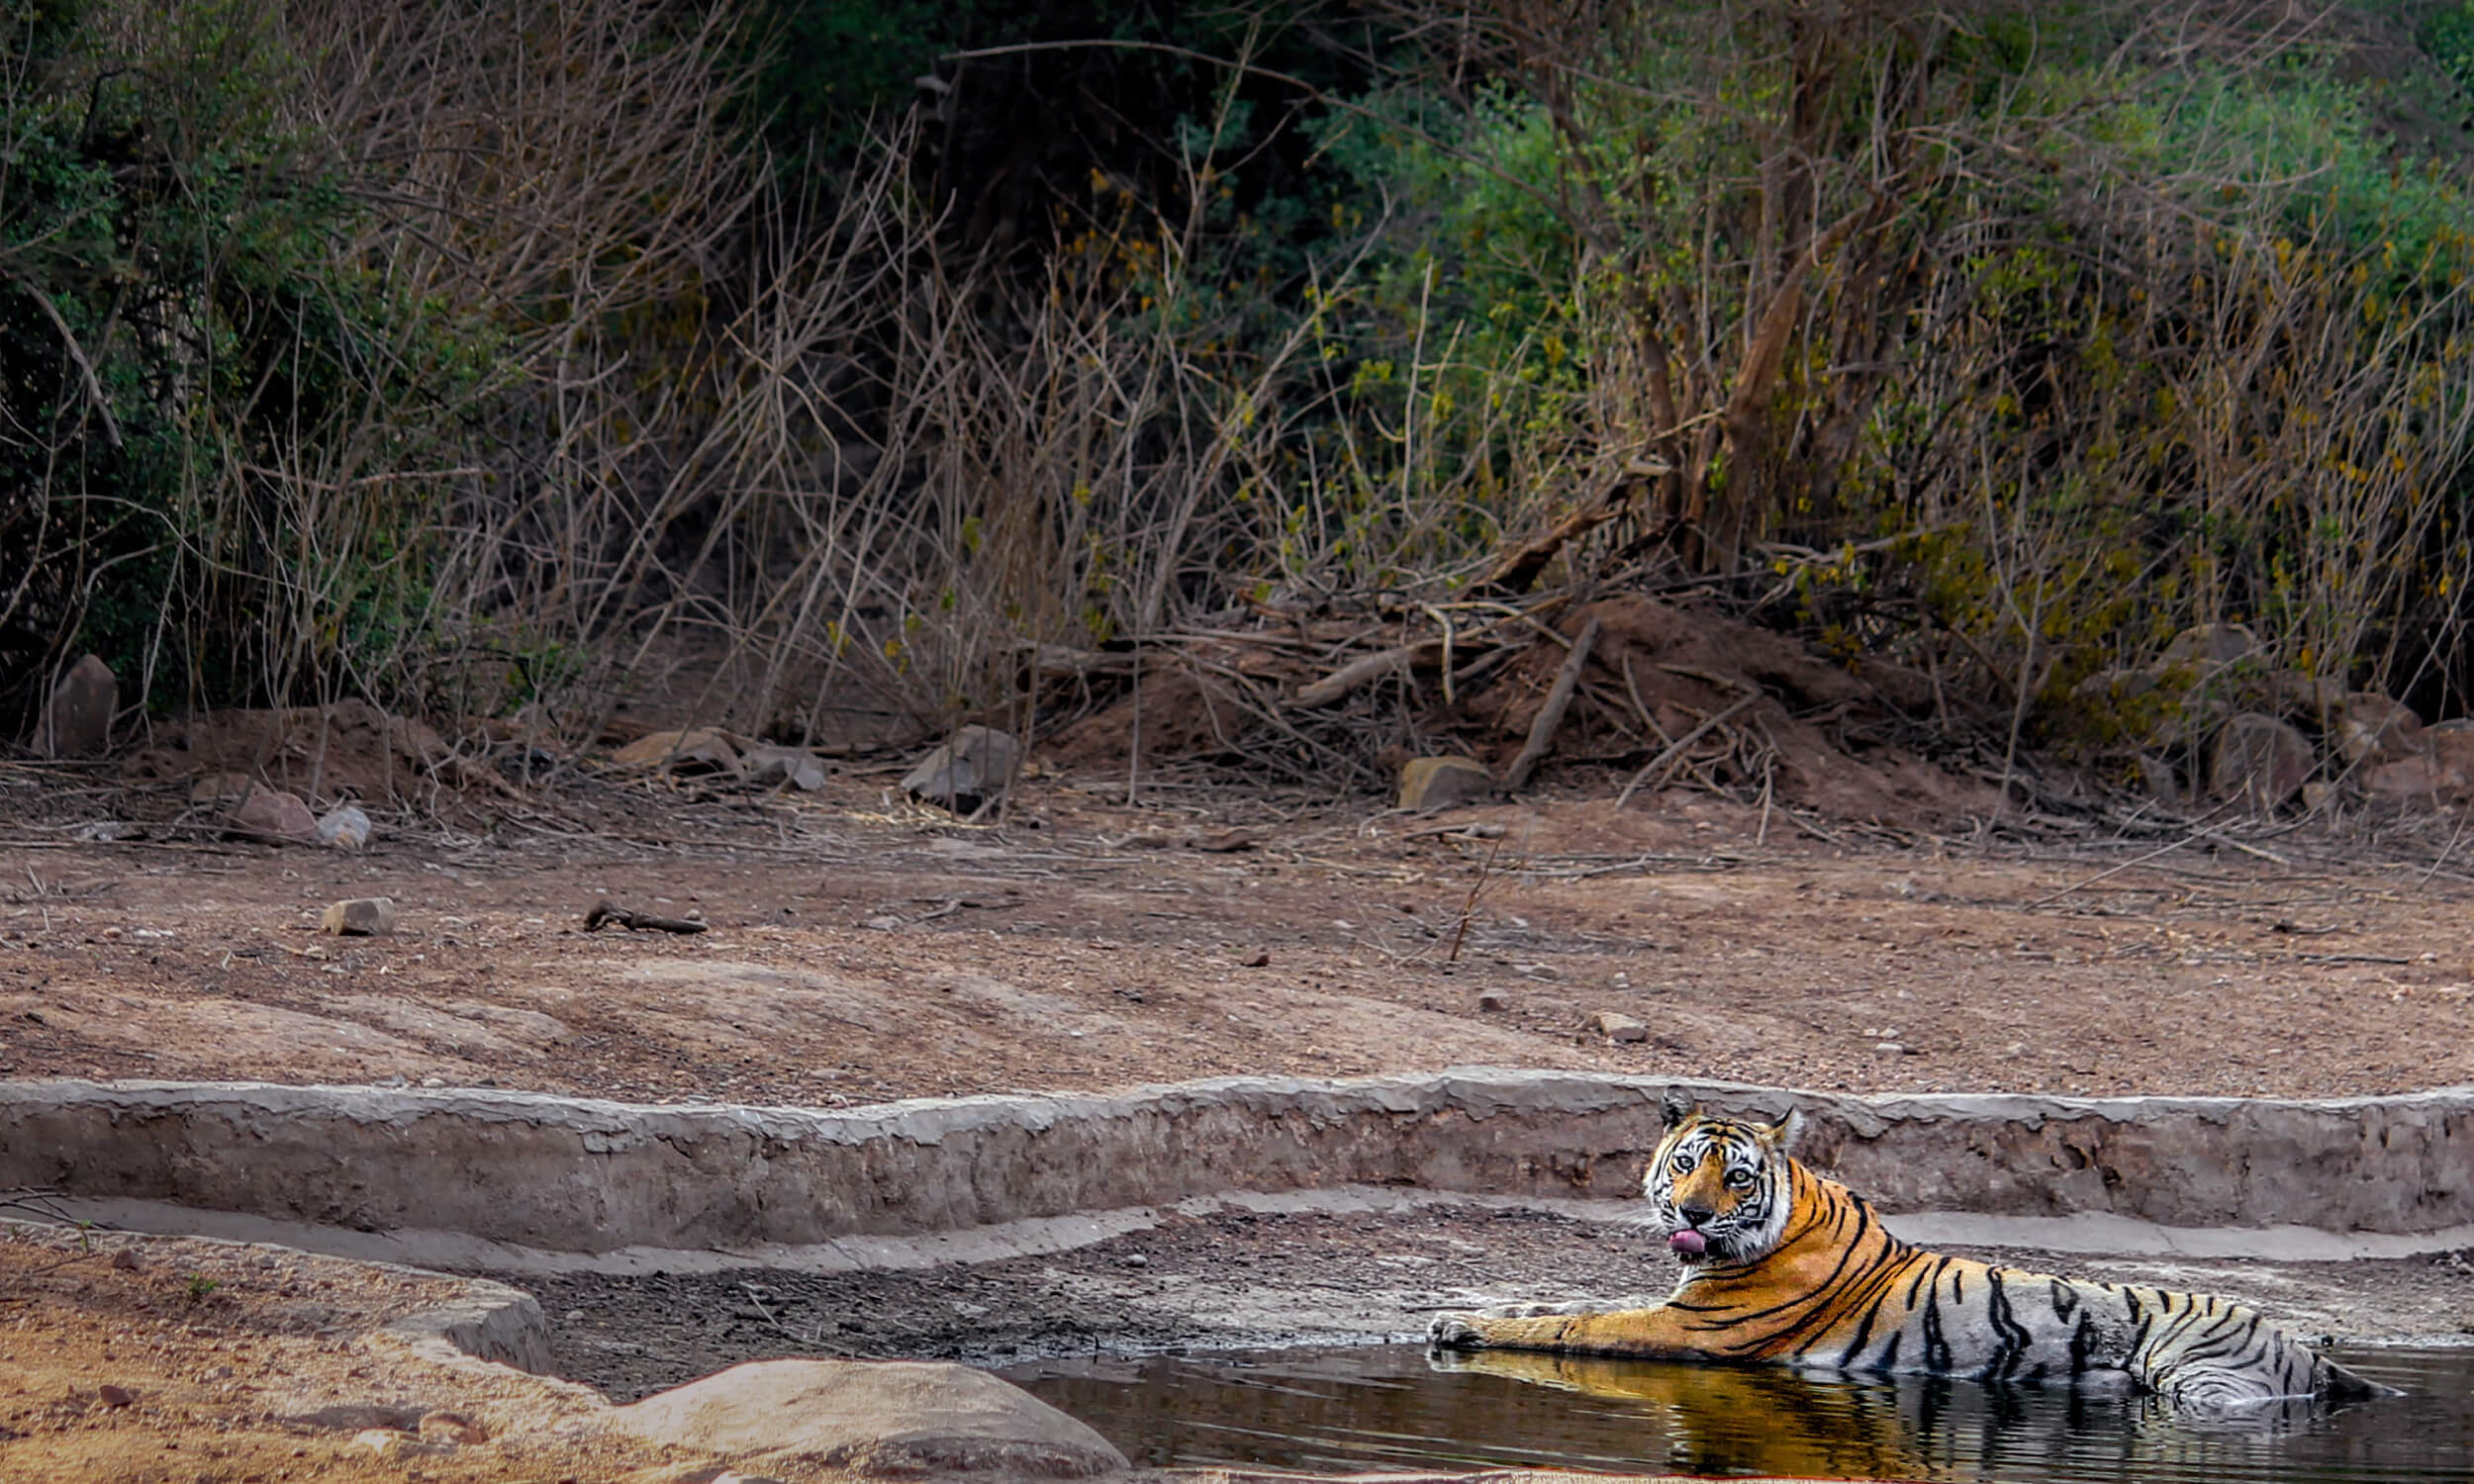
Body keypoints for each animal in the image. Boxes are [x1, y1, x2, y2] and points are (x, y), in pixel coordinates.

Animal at [1426, 1099, 2388, 1415]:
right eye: (1686, 1164)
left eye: (1736, 1177)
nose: (1694, 1214)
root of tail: (2297, 1341)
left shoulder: (1691, 1329)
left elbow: (1567, 1322)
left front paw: (1454, 1324)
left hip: (2203, 1378)